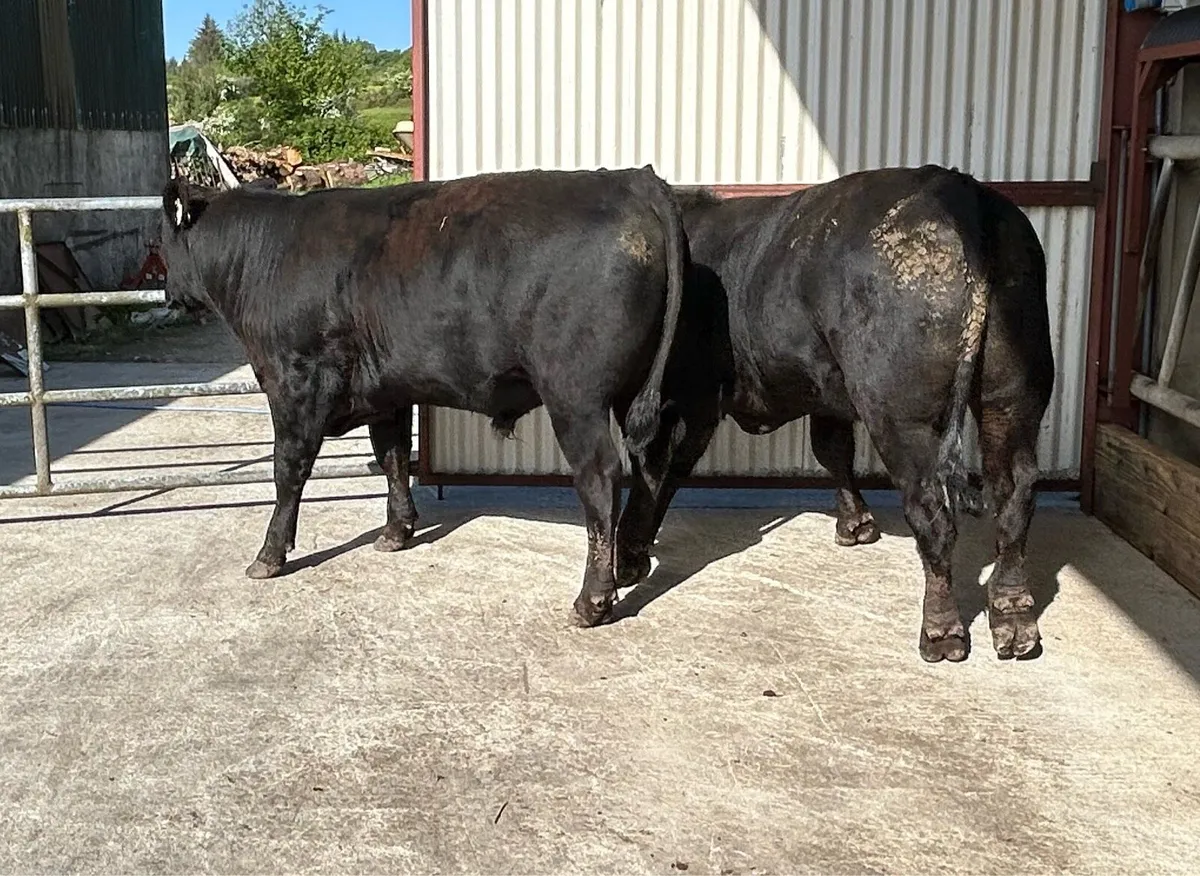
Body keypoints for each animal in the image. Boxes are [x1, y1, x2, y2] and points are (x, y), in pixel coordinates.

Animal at [160, 166, 687, 625]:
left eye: (161, 243)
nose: (167, 294)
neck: (263, 256)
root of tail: (630, 179)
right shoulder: (385, 391)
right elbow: (392, 455)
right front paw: (397, 531)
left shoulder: (295, 383)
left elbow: (288, 470)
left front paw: (269, 555)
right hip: (634, 391)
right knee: (652, 463)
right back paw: (630, 564)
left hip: (575, 396)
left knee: (600, 476)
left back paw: (592, 600)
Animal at [609, 165, 1056, 663]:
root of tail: (959, 188)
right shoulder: (826, 388)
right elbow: (832, 449)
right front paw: (856, 524)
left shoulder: (685, 400)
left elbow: (658, 471)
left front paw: (630, 555)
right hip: (1013, 395)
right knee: (1014, 496)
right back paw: (1014, 618)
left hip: (901, 415)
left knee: (932, 511)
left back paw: (941, 632)